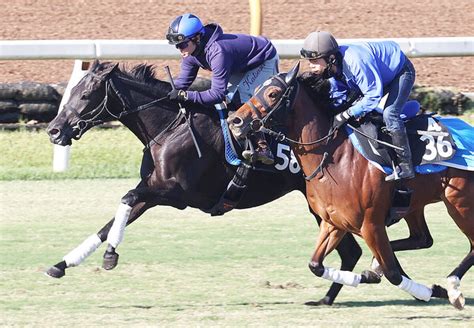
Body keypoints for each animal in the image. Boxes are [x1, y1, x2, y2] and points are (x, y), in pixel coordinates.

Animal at [45, 60, 362, 306]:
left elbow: (126, 199)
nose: (54, 130)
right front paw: (62, 264)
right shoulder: (152, 191)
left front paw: (110, 255)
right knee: (352, 252)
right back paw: (327, 298)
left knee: (353, 249)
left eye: (86, 95)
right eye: (72, 91)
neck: (168, 128)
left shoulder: (176, 194)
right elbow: (110, 223)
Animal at [228, 62, 472, 308]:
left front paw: (434, 290)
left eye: (273, 93)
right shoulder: (334, 222)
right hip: (414, 204)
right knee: (422, 239)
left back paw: (453, 287)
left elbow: (393, 273)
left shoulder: (371, 225)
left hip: (459, 203)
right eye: (256, 89)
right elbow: (315, 265)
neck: (335, 158)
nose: (234, 121)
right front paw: (367, 275)